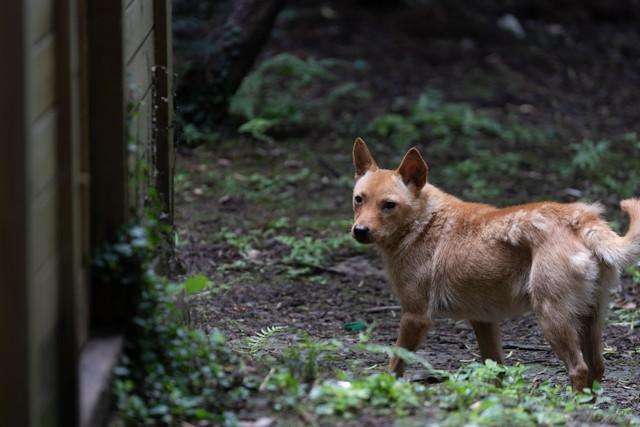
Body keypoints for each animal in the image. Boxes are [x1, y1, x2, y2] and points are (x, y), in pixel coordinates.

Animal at [350, 138, 640, 392]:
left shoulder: (415, 316)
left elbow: (395, 363)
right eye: (358, 199)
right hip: (590, 318)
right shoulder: (483, 319)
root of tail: (583, 219)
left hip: (552, 317)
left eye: (389, 205)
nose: (359, 231)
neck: (425, 222)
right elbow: (496, 370)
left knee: (579, 369)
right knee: (597, 367)